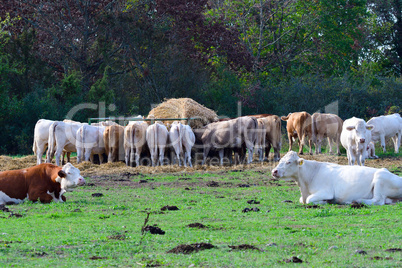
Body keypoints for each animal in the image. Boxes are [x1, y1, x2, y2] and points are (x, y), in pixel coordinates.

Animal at [270, 151, 402, 205]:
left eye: (289, 162)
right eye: (280, 160)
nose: (274, 171)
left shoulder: (326, 192)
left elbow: (309, 200)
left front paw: (324, 202)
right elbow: (301, 200)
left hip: (380, 178)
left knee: (378, 200)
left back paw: (356, 201)